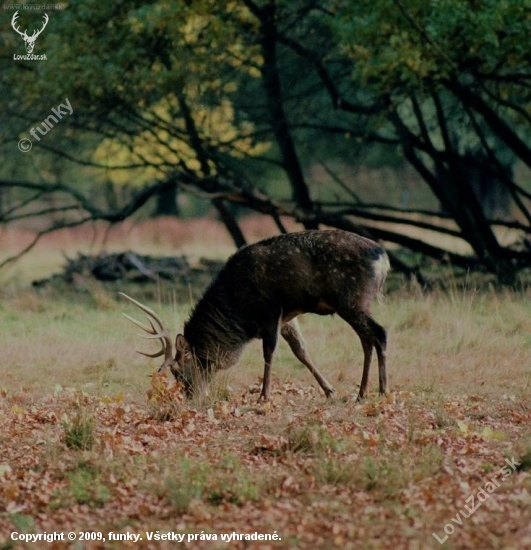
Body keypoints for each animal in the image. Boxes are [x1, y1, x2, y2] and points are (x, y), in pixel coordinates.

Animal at [120, 231, 390, 404]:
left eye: (179, 371)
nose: (191, 397)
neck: (239, 309)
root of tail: (384, 259)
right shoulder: (288, 316)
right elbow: (301, 351)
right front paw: (330, 391)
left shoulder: (270, 309)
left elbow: (269, 352)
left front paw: (263, 397)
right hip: (355, 303)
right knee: (366, 340)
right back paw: (361, 393)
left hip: (351, 299)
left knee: (380, 333)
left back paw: (383, 391)